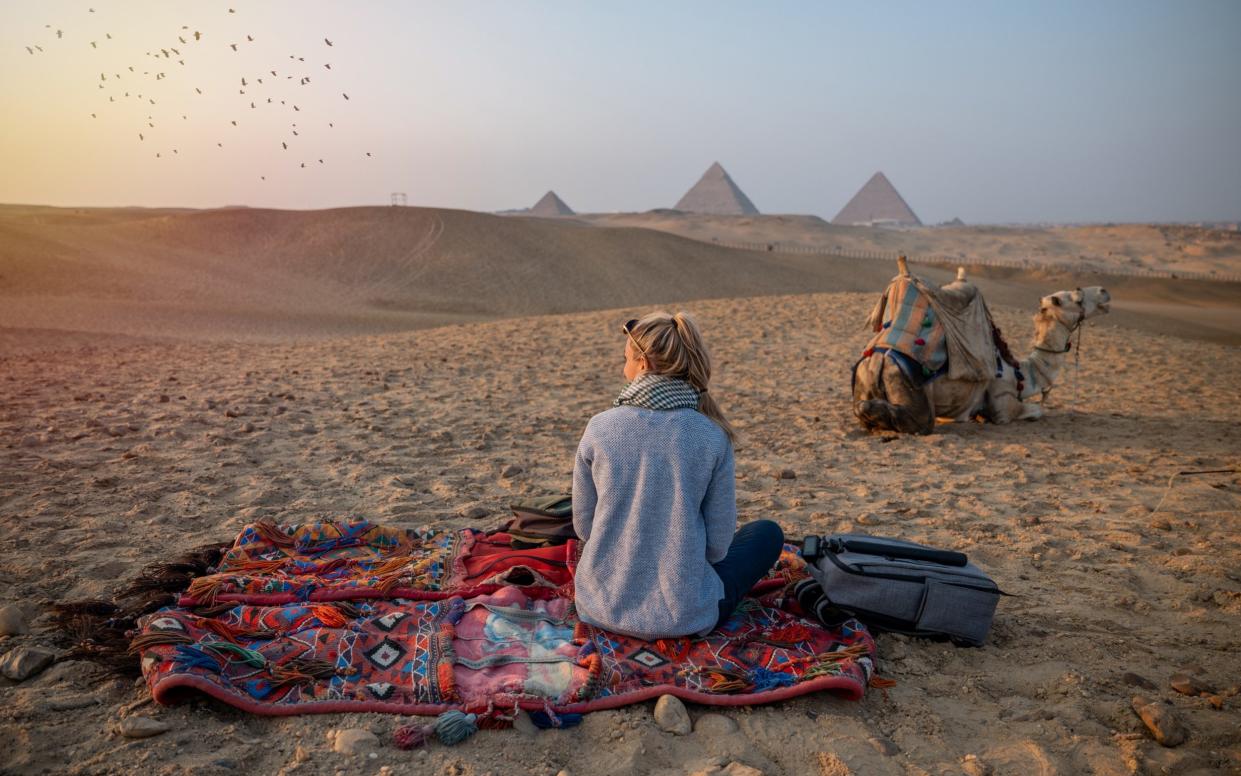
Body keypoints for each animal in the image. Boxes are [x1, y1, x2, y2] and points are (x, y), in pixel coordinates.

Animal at [853, 257, 1116, 432]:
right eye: (1077, 298)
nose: (1104, 291)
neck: (1021, 372)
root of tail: (875, 358)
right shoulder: (1002, 404)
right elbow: (1036, 411)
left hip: (864, 378)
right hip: (905, 381)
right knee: (918, 419)